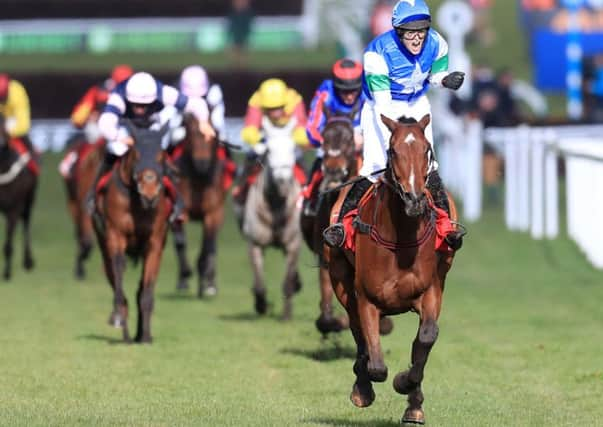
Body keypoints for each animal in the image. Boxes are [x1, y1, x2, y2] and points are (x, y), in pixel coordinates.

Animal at [92, 121, 172, 344]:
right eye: (136, 153)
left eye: (161, 155)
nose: (150, 190)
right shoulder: (115, 236)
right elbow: (119, 273)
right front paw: (121, 321)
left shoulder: (155, 241)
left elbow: (146, 291)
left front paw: (145, 336)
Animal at [328, 114, 460, 424]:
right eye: (393, 150)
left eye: (427, 150)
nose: (414, 200)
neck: (401, 239)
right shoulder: (366, 298)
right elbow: (375, 363)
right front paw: (364, 387)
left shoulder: (431, 290)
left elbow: (426, 338)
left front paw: (407, 387)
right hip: (340, 281)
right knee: (357, 332)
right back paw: (362, 386)